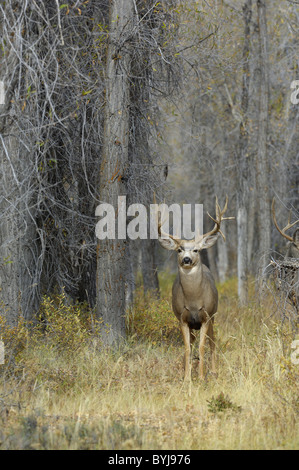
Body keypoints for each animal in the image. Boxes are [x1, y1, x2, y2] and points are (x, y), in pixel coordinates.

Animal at [157, 196, 234, 382]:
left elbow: (202, 346)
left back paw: (213, 371)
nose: (186, 259)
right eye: (179, 249)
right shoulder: (182, 318)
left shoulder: (206, 316)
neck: (193, 301)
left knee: (213, 342)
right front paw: (187, 378)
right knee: (193, 342)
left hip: (213, 316)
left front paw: (201, 377)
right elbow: (187, 348)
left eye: (196, 250)